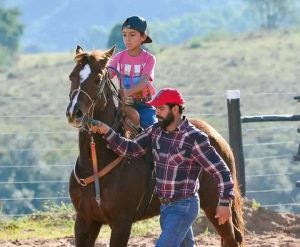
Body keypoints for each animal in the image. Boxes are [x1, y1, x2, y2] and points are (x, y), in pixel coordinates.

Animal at [65, 45, 244, 246]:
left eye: (97, 79)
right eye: (72, 76)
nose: (74, 113)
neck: (97, 162)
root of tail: (217, 138)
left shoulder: (122, 223)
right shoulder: (85, 220)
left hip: (215, 206)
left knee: (232, 238)